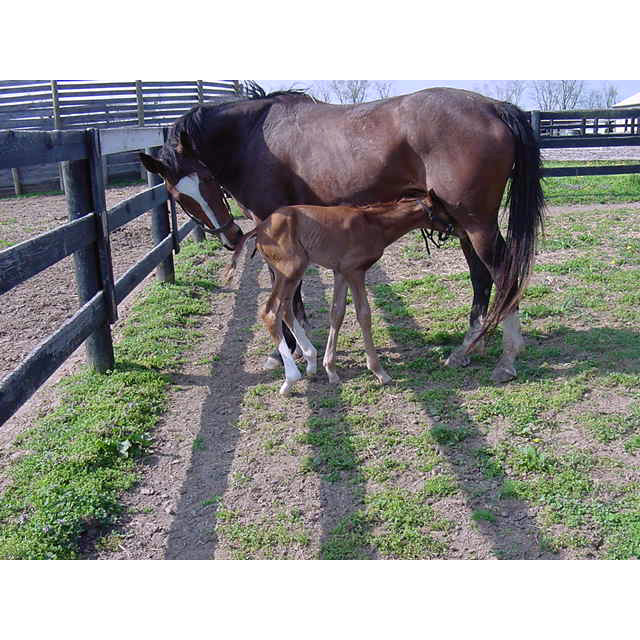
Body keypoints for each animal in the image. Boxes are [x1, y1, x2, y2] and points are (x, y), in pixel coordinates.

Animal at [224, 191, 451, 395]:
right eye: (443, 209)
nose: (453, 227)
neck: (373, 224)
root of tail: (260, 227)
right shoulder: (354, 271)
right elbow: (364, 314)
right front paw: (379, 371)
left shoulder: (340, 272)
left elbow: (337, 313)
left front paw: (331, 370)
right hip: (290, 270)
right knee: (272, 312)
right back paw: (291, 379)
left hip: (291, 273)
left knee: (286, 308)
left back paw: (310, 359)